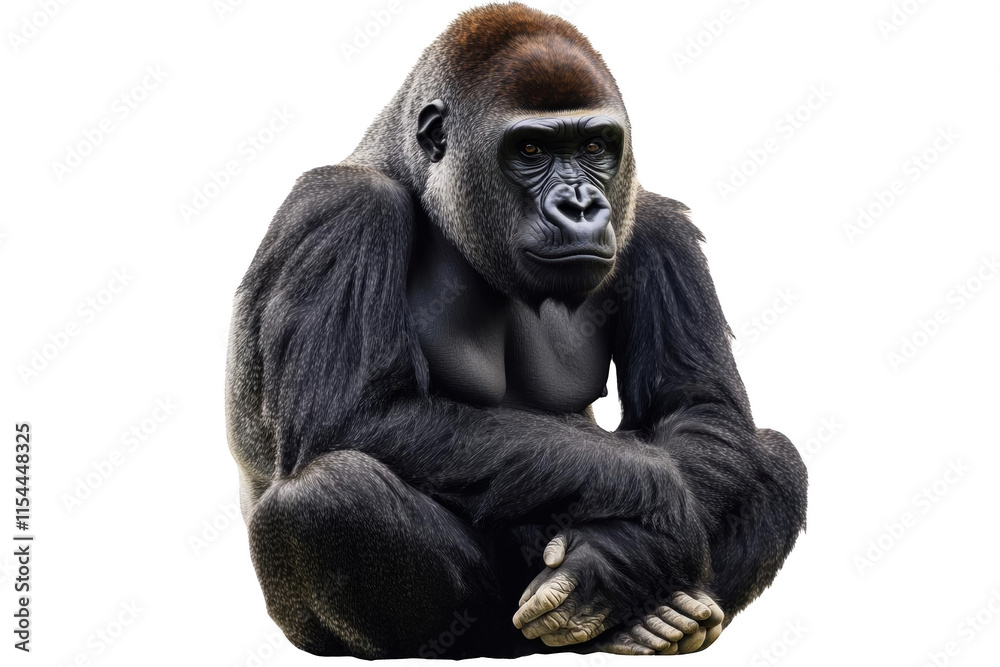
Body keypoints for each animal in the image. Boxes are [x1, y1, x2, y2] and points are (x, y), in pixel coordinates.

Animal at [226, 3, 807, 659]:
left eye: (596, 146)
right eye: (530, 148)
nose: (582, 206)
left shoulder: (656, 224)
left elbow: (698, 409)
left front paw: (615, 560)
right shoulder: (342, 207)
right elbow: (352, 415)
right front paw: (652, 517)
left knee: (772, 455)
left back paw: (656, 616)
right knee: (326, 497)